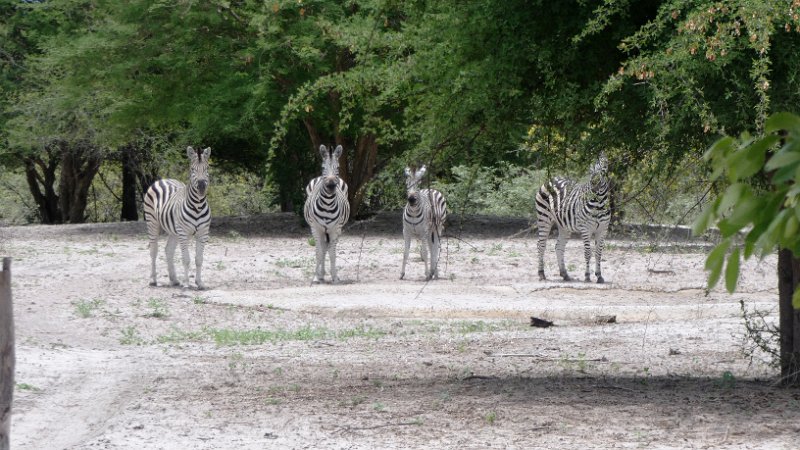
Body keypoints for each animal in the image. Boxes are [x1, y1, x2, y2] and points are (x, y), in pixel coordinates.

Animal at [143, 146, 212, 290]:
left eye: (207, 168)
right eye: (192, 169)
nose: (202, 186)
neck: (198, 206)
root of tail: (163, 179)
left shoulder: (203, 233)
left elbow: (199, 259)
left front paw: (199, 283)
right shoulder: (184, 233)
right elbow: (186, 259)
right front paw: (187, 283)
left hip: (174, 231)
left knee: (168, 250)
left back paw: (174, 279)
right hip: (152, 222)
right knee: (153, 250)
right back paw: (153, 280)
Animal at [304, 144, 350, 284]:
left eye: (338, 168)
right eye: (323, 167)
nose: (330, 186)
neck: (327, 205)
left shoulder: (335, 229)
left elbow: (332, 253)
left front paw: (335, 277)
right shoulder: (315, 228)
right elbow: (318, 252)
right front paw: (315, 277)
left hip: (337, 229)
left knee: (327, 248)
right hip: (321, 230)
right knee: (323, 248)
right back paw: (321, 274)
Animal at [535, 154, 611, 283]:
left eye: (604, 166)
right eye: (591, 168)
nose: (594, 181)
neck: (599, 201)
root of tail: (552, 179)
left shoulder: (602, 230)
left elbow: (598, 253)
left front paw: (599, 276)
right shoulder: (586, 229)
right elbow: (588, 252)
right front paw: (587, 276)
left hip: (564, 226)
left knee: (559, 247)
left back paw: (565, 274)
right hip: (544, 218)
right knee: (541, 245)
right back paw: (541, 274)